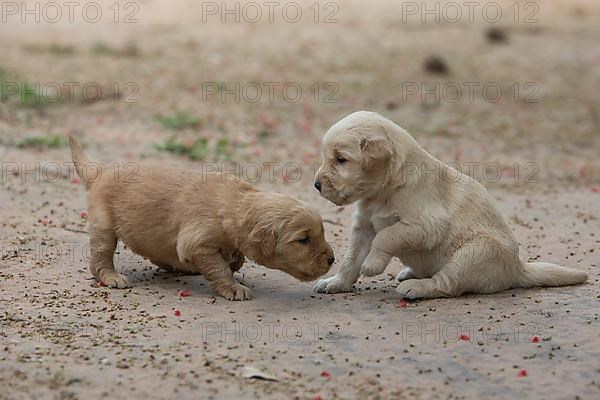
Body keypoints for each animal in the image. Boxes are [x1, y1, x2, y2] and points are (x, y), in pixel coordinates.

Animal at [69, 137, 338, 300]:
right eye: (304, 239)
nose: (332, 259)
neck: (235, 205)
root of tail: (100, 172)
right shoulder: (197, 242)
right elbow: (219, 267)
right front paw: (233, 287)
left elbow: (233, 259)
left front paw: (234, 263)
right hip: (103, 225)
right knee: (100, 257)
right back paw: (112, 277)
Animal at [312, 111, 588, 298]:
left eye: (341, 160)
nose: (316, 185)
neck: (385, 190)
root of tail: (517, 269)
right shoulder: (365, 227)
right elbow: (351, 258)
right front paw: (336, 282)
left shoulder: (425, 225)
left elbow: (387, 236)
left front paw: (372, 264)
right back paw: (410, 272)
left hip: (476, 252)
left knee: (447, 284)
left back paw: (415, 287)